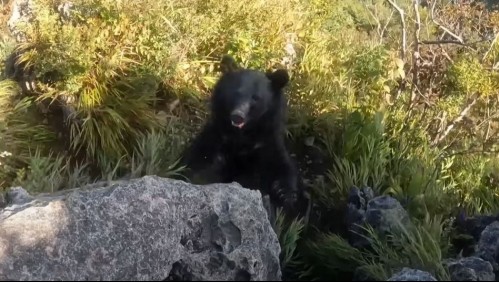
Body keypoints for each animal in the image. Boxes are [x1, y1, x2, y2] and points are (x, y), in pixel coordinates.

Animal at [184, 55, 308, 217]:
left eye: (256, 98)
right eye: (236, 92)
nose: (238, 116)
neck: (242, 136)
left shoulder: (267, 143)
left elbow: (282, 166)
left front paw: (284, 194)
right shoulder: (216, 136)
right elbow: (199, 161)